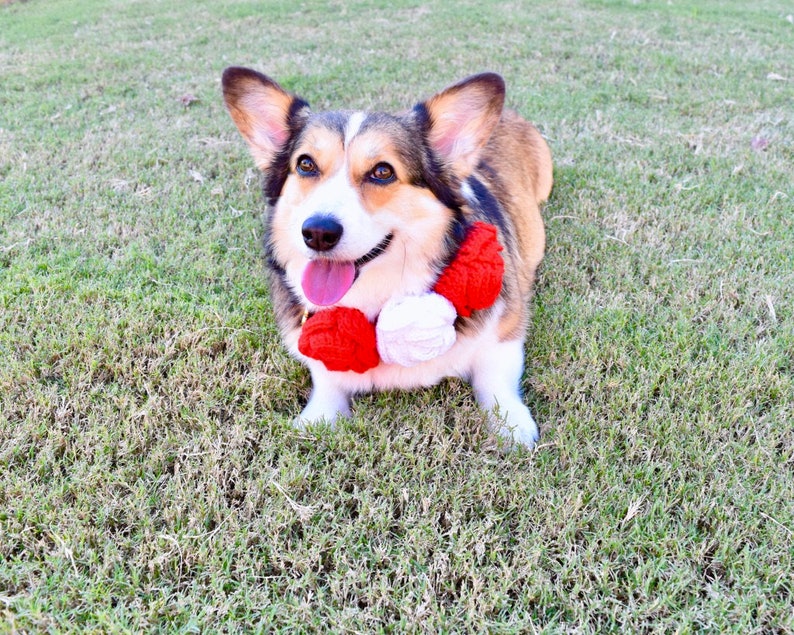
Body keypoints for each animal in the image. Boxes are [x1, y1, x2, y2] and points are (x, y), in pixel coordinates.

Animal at [220, 68, 548, 448]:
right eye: (305, 165)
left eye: (382, 172)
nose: (317, 232)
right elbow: (326, 381)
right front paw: (316, 419)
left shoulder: (505, 330)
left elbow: (496, 379)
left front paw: (512, 426)